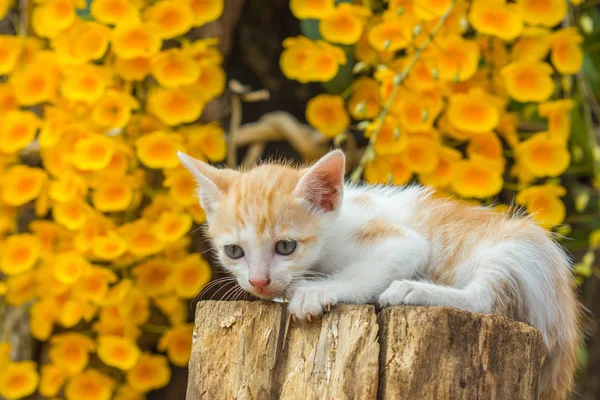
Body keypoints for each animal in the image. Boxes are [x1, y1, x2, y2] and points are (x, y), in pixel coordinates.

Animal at [179, 148, 580, 398]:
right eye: (234, 251)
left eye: (285, 247)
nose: (259, 281)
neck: (333, 231)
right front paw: (286, 291)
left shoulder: (403, 242)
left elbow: (364, 271)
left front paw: (311, 292)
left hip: (519, 250)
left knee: (487, 298)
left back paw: (413, 290)